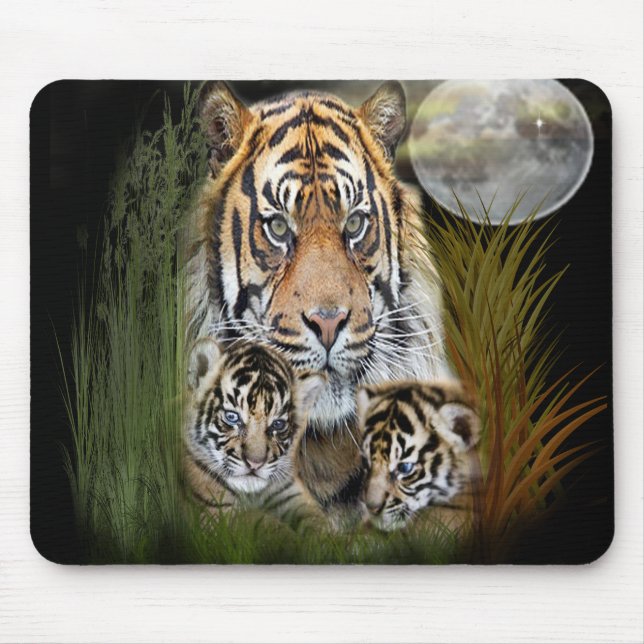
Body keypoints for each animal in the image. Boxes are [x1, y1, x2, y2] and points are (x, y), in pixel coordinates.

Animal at [184, 337, 326, 523]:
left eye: (278, 424)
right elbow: (264, 523)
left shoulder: (289, 490)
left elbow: (317, 520)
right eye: (232, 417)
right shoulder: (216, 510)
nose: (255, 464)